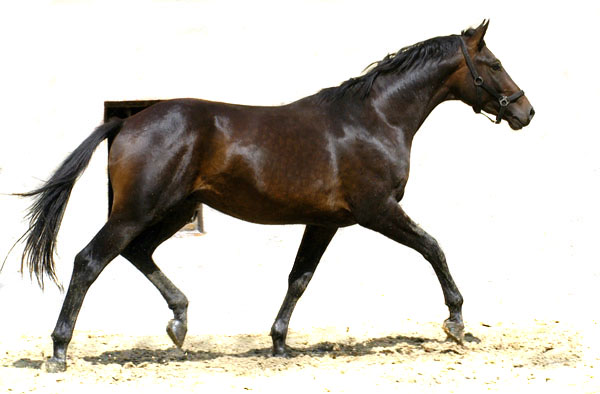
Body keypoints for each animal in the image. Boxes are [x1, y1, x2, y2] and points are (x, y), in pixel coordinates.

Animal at [16, 20, 536, 372]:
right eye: (494, 64)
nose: (526, 112)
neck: (375, 118)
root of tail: (126, 122)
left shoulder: (324, 221)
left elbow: (298, 279)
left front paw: (280, 342)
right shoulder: (379, 210)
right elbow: (433, 248)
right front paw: (456, 322)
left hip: (172, 210)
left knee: (137, 253)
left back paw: (180, 323)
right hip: (138, 210)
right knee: (89, 260)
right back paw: (59, 350)